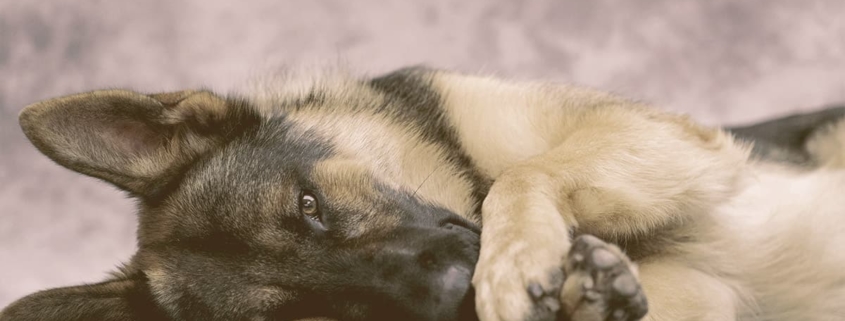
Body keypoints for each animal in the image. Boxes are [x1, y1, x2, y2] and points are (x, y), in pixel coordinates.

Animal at [1, 66, 844, 318]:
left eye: (309, 205)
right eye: (315, 315)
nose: (455, 286)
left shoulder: (659, 135)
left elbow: (519, 175)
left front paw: (516, 261)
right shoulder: (709, 295)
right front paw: (589, 292)